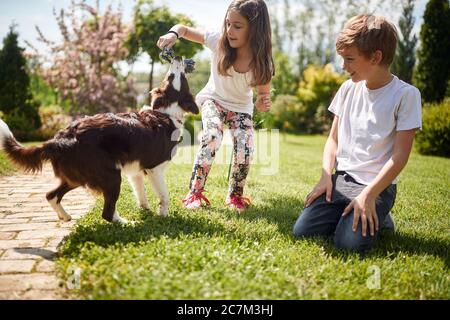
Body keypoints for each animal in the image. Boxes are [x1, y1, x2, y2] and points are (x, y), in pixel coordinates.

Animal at [0, 56, 199, 224]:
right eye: (174, 75)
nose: (178, 57)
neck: (166, 113)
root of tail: (61, 138)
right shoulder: (154, 168)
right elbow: (164, 195)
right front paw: (162, 215)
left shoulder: (135, 171)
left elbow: (140, 193)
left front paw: (146, 210)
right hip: (111, 175)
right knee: (106, 213)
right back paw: (128, 223)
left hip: (77, 177)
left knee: (51, 195)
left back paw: (65, 216)